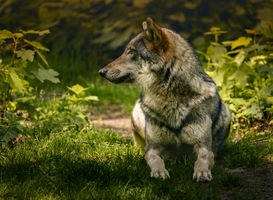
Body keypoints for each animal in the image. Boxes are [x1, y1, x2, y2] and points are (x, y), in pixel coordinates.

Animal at [98, 18, 230, 182]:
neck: (170, 99)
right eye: (126, 51)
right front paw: (159, 172)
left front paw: (202, 172)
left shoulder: (203, 146)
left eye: (131, 51)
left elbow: (202, 160)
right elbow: (156, 160)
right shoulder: (153, 149)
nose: (101, 71)